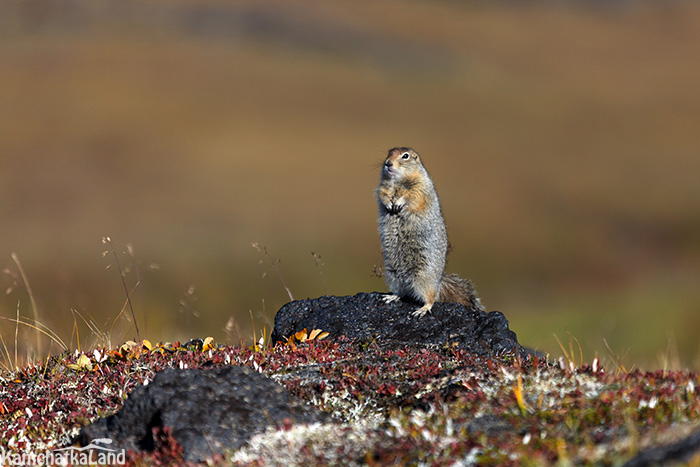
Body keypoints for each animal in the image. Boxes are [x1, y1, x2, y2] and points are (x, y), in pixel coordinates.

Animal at [374, 148, 484, 318]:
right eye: (388, 153)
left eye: (405, 156)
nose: (388, 163)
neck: (397, 181)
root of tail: (439, 282)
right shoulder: (382, 187)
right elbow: (382, 194)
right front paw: (388, 203)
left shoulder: (420, 186)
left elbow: (413, 196)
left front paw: (398, 202)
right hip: (393, 274)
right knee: (402, 292)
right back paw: (391, 296)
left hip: (423, 277)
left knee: (431, 297)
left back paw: (422, 309)